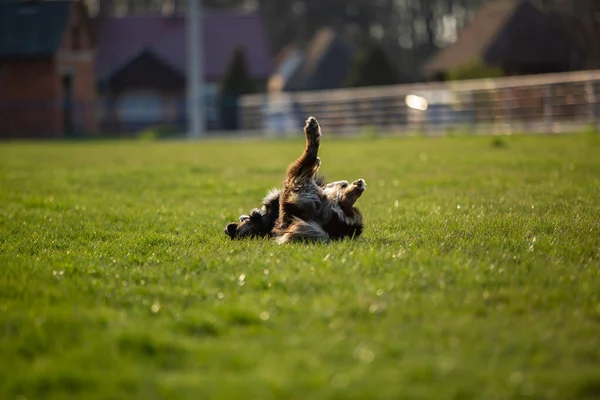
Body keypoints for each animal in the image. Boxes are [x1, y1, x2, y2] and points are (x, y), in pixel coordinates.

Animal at [225, 115, 366, 244]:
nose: (228, 229)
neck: (268, 221)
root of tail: (328, 231)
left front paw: (342, 183)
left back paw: (356, 186)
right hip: (291, 187)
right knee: (308, 156)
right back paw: (312, 130)